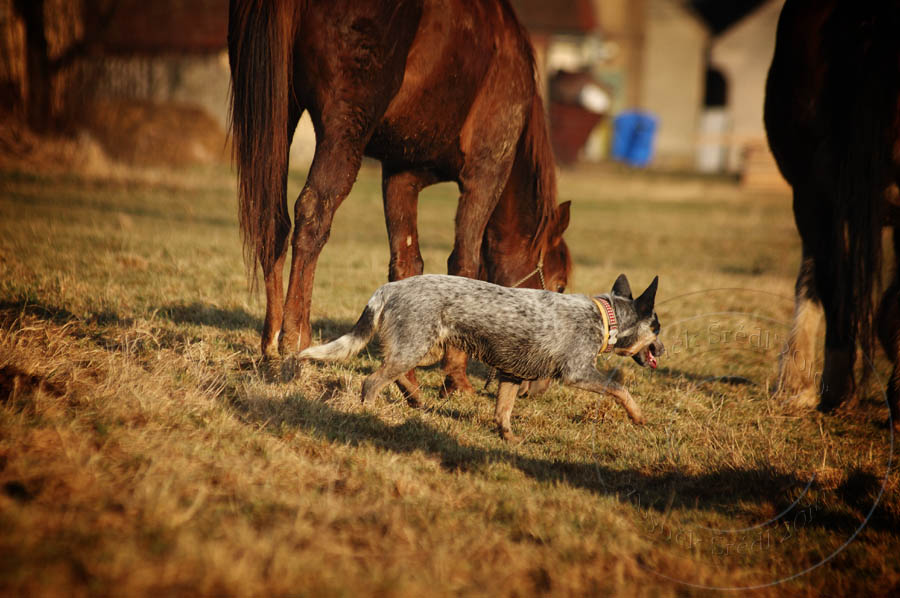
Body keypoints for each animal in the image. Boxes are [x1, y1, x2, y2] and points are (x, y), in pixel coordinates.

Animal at [229, 0, 572, 394]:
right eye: (560, 286)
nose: (542, 385)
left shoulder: (400, 174)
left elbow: (406, 262)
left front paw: (407, 377)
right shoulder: (487, 172)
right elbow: (464, 263)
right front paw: (455, 376)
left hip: (279, 114)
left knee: (272, 220)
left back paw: (271, 342)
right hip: (344, 128)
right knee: (313, 215)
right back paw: (293, 341)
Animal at [300, 274, 660, 440]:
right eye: (657, 327)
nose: (665, 350)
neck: (605, 318)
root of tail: (389, 287)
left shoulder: (512, 375)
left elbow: (503, 410)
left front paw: (508, 437)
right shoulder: (579, 372)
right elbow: (621, 389)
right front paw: (640, 418)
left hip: (421, 349)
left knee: (393, 372)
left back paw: (416, 401)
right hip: (415, 347)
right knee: (372, 382)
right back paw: (369, 414)